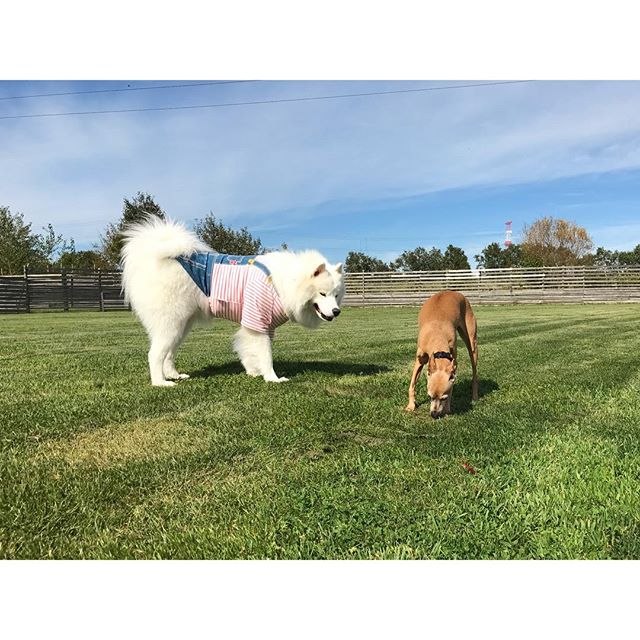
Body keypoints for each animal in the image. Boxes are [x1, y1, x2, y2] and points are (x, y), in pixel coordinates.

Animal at [121, 217, 345, 386]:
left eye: (336, 295)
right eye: (322, 294)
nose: (336, 312)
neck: (281, 283)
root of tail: (153, 258)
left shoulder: (261, 326)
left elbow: (252, 352)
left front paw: (254, 371)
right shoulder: (258, 322)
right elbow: (266, 355)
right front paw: (272, 378)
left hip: (182, 326)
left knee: (168, 354)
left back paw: (174, 375)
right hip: (171, 322)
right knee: (154, 354)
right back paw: (161, 383)